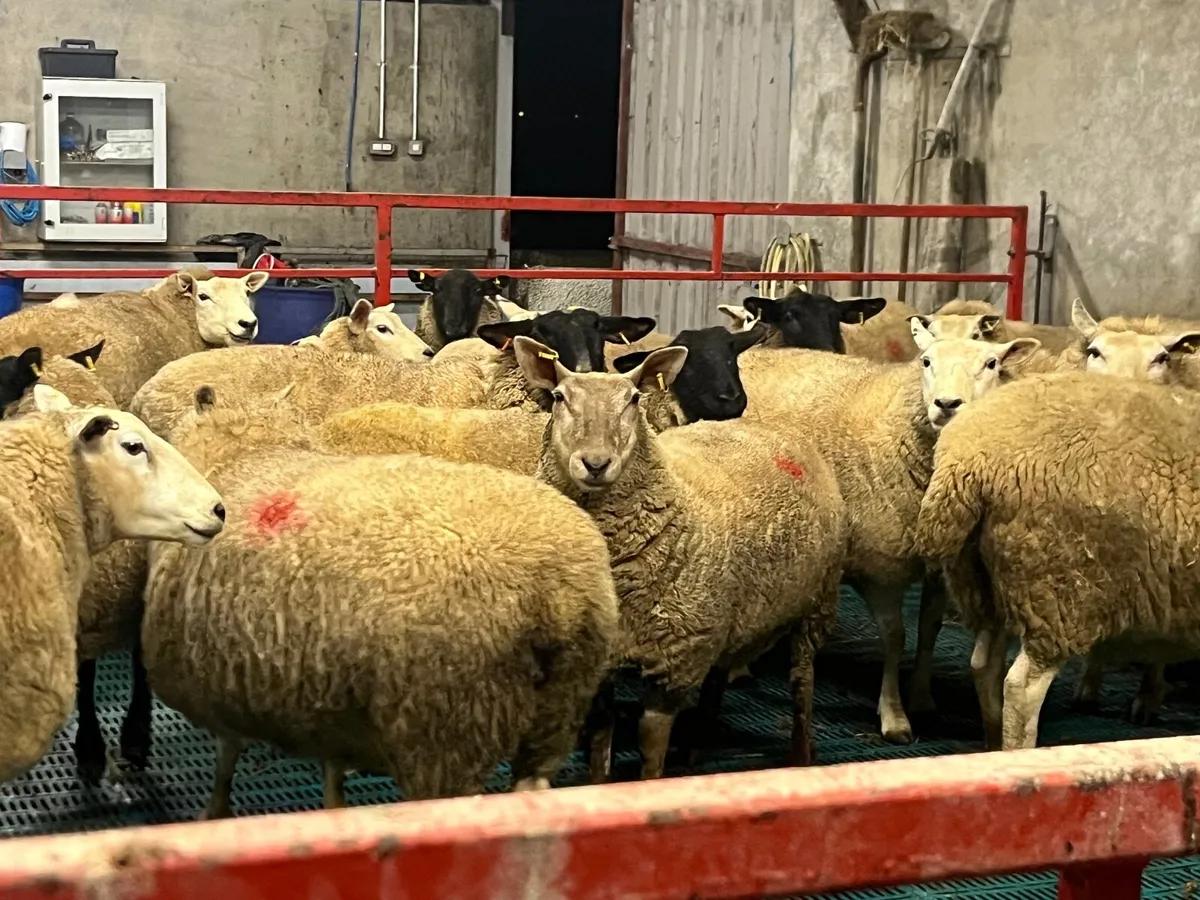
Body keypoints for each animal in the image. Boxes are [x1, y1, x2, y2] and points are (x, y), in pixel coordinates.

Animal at [141, 386, 619, 816]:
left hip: (447, 728)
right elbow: (331, 773)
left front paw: (215, 812)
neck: (249, 453)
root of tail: (555, 592)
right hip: (558, 710)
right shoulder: (323, 688)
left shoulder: (214, 680)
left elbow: (226, 758)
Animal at [511, 336, 847, 776]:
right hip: (732, 612)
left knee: (802, 681)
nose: (596, 464)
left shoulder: (673, 666)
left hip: (817, 603)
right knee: (720, 674)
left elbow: (651, 748)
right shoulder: (603, 660)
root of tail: (772, 426)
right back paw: (696, 746)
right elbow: (600, 739)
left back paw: (801, 754)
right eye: (558, 397)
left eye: (634, 399)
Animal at [736, 321, 1042, 743]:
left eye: (991, 363)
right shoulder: (879, 565)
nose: (947, 404)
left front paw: (922, 698)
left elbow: (928, 627)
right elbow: (895, 636)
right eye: (926, 361)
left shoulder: (938, 563)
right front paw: (894, 715)